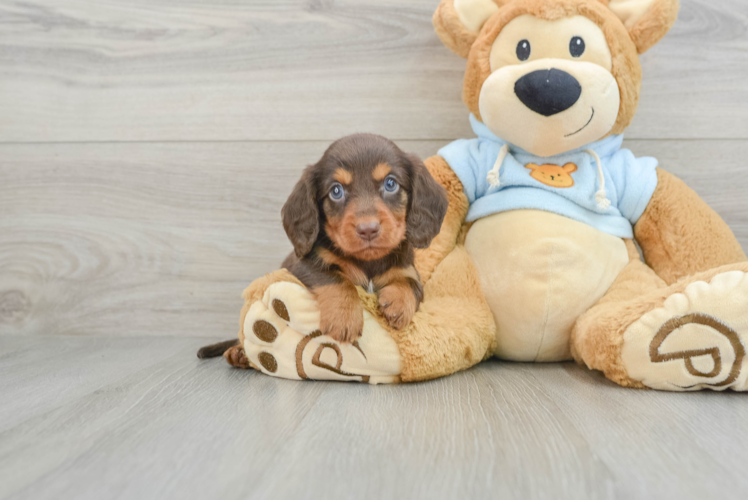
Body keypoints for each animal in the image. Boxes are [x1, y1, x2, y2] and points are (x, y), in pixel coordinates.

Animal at [280, 134, 444, 344]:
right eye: (336, 191)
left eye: (390, 184)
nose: (368, 230)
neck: (369, 262)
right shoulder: (303, 265)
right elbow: (337, 279)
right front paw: (343, 317)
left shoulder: (409, 269)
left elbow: (410, 282)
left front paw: (399, 304)